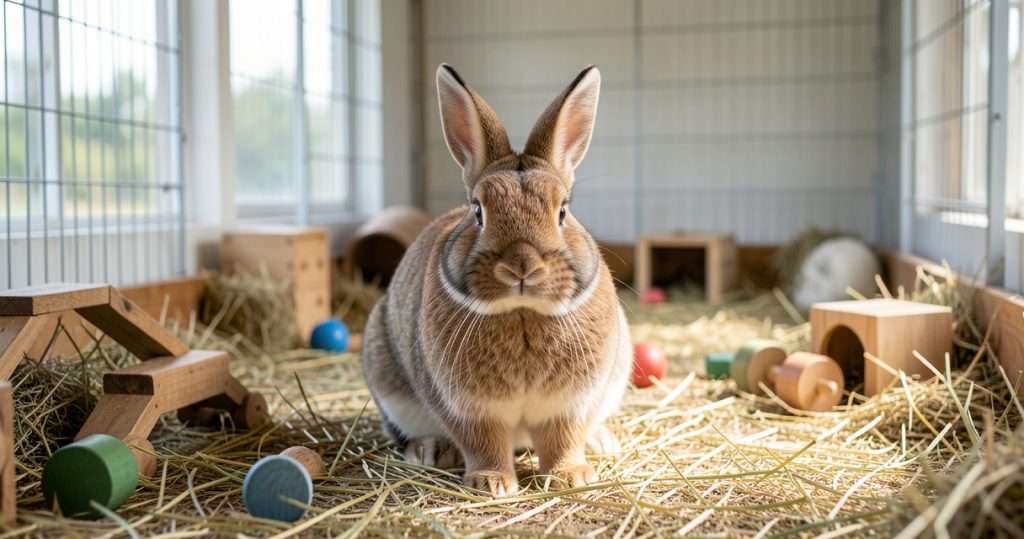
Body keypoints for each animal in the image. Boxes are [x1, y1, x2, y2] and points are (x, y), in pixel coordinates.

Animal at [360, 64, 632, 497]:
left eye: (563, 211)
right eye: (478, 211)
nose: (522, 267)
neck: (521, 311)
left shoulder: (573, 404)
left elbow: (564, 438)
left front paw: (569, 477)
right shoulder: (465, 408)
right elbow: (482, 442)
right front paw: (492, 484)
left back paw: (600, 442)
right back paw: (429, 450)